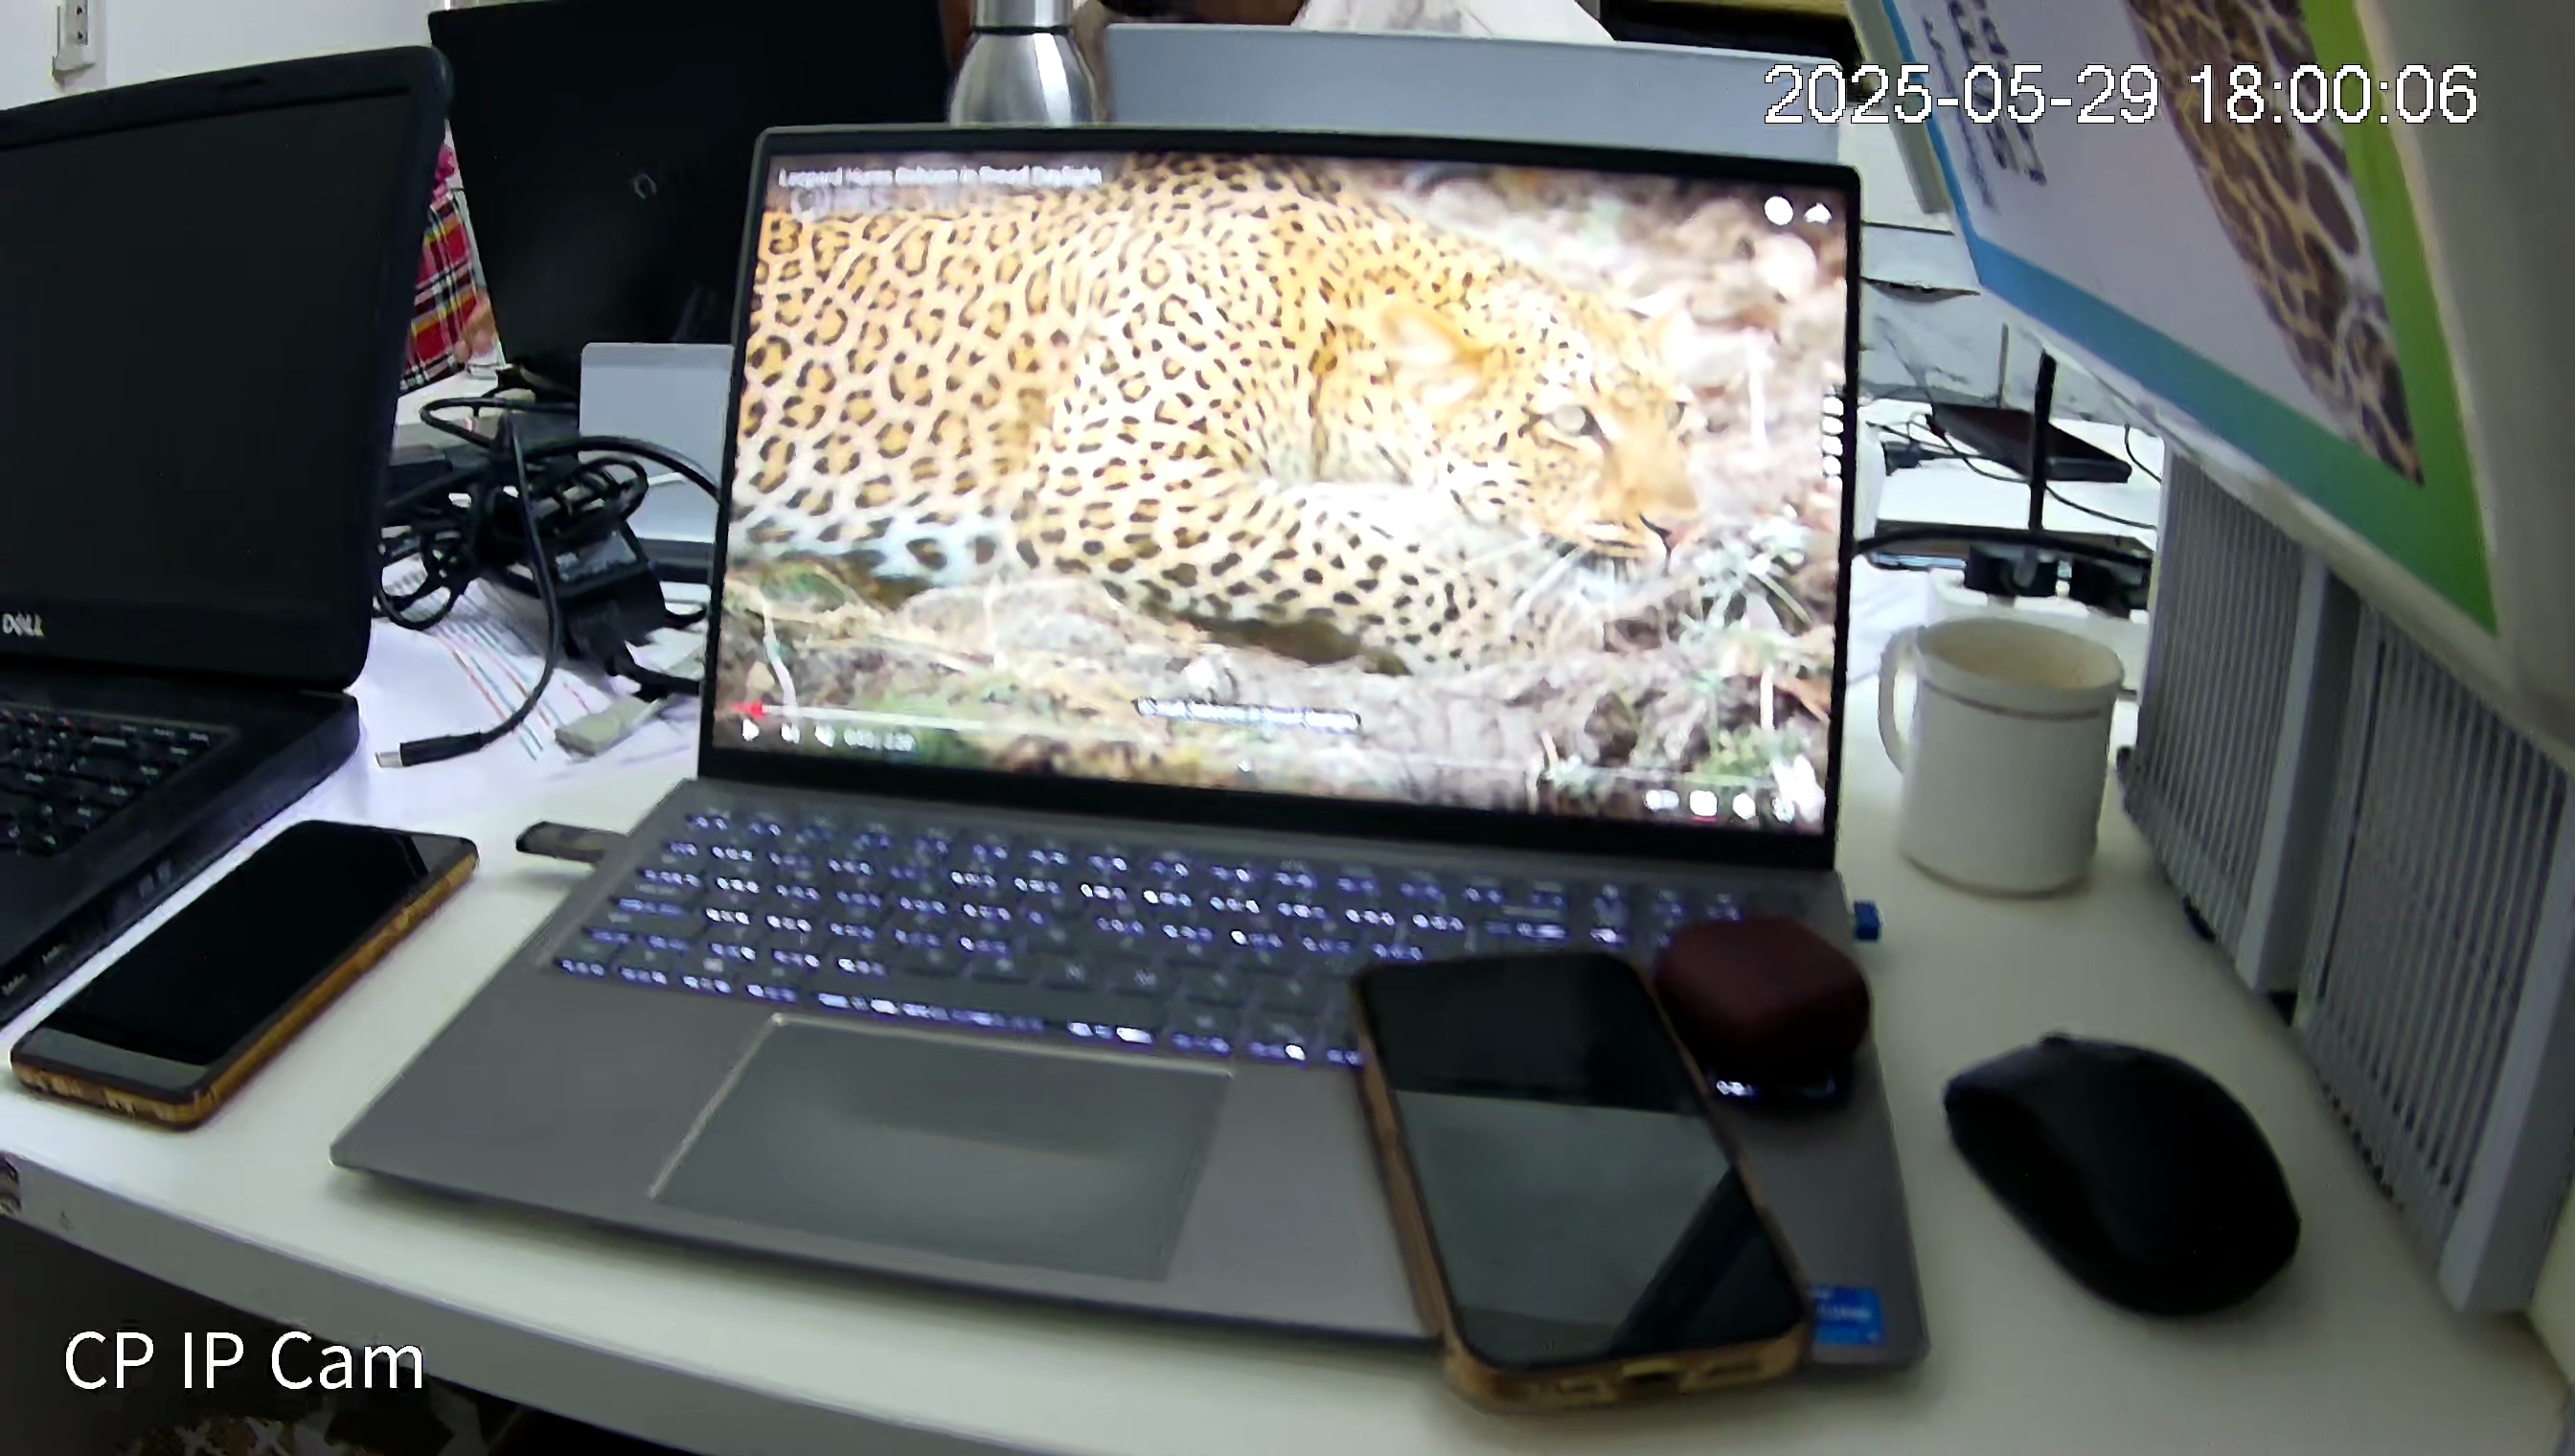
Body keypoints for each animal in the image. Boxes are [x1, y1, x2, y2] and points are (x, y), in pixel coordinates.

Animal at [727, 155, 1705, 676]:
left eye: (1681, 415)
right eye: (1573, 424)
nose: (1682, 531)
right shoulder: (1111, 476)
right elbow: (1345, 549)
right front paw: (1518, 638)